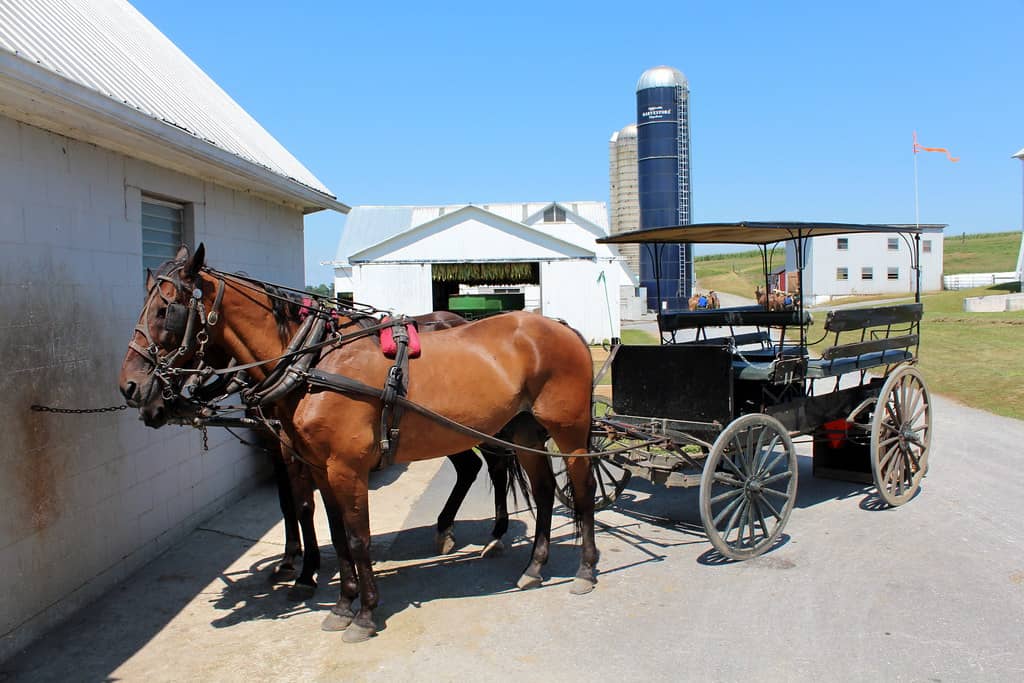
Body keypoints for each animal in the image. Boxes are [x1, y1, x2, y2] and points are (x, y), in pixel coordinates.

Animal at [119, 244, 598, 642]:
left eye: (165, 309)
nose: (131, 387)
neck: (313, 361)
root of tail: (562, 328)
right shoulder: (317, 466)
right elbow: (333, 530)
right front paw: (340, 603)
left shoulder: (346, 468)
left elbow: (357, 535)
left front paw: (363, 613)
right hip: (521, 431)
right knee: (539, 489)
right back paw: (533, 565)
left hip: (568, 432)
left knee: (581, 490)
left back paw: (585, 569)